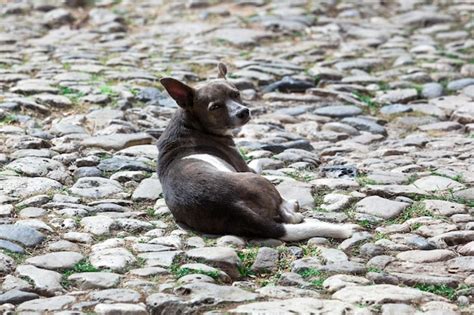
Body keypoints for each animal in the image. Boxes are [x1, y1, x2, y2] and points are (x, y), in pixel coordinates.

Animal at [157, 63, 358, 242]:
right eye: (215, 107)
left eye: (236, 94)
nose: (243, 112)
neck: (190, 124)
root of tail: (234, 207)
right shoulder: (246, 167)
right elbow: (258, 160)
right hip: (261, 182)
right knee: (285, 213)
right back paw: (293, 207)